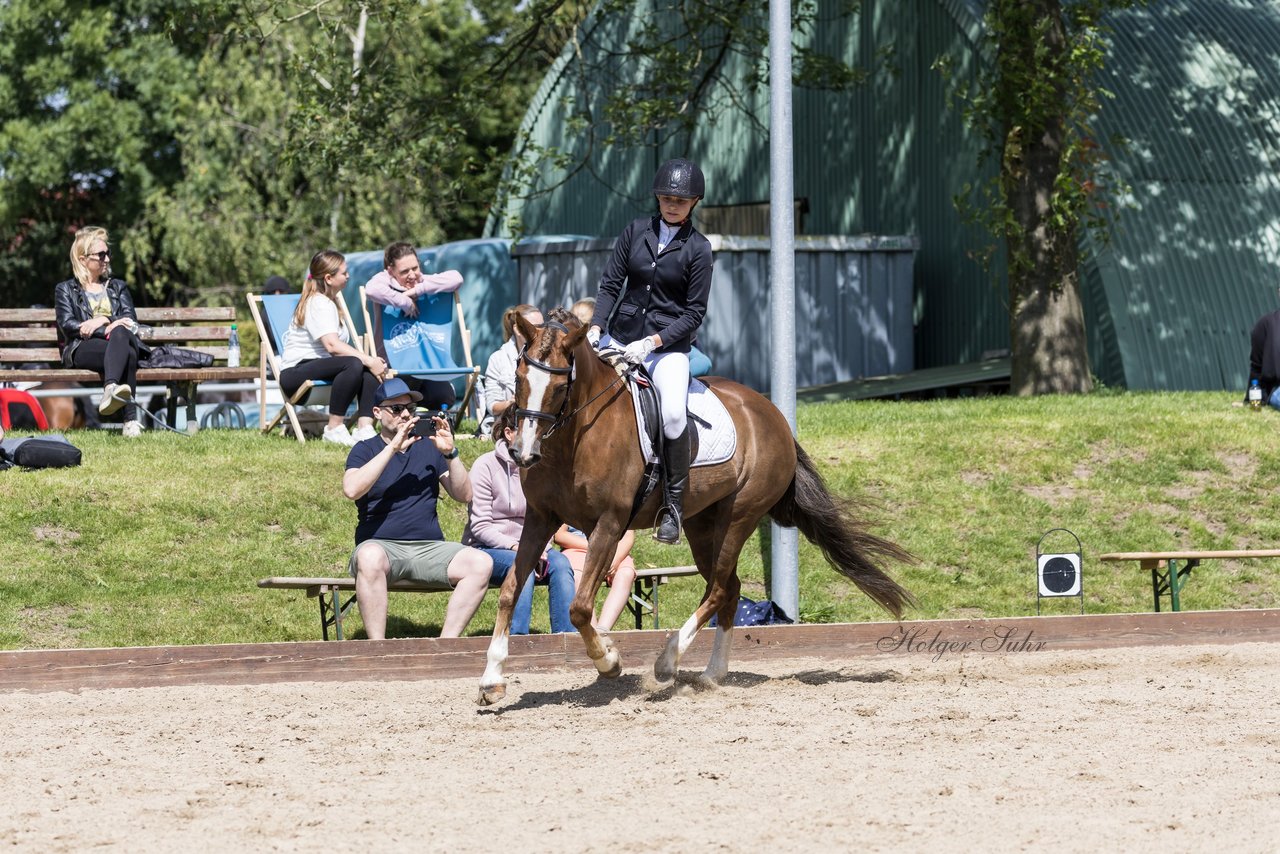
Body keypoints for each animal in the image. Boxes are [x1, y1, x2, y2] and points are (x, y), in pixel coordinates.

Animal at [478, 311, 911, 706]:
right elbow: (511, 589)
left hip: (739, 517)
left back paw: (667, 664)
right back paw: (711, 674)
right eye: (519, 377)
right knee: (729, 589)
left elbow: (581, 607)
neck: (575, 437)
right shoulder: (540, 518)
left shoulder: (610, 524)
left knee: (718, 588)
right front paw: (491, 679)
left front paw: (609, 660)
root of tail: (773, 415)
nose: (523, 453)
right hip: (703, 525)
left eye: (558, 384)